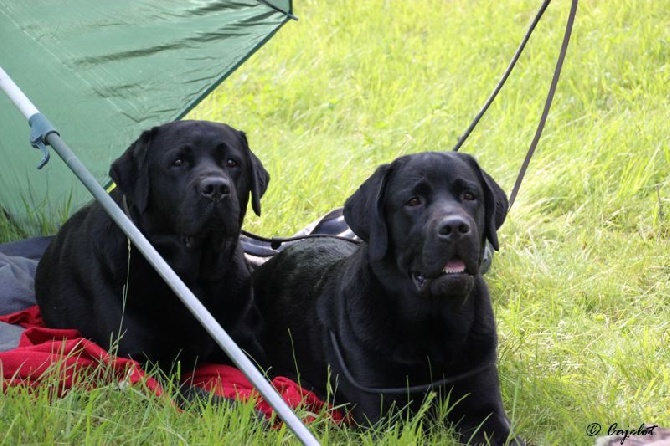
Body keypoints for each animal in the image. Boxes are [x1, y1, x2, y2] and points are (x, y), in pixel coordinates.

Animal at [34, 120, 270, 374]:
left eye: (232, 162)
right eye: (178, 161)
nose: (216, 187)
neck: (196, 280)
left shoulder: (248, 344)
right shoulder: (145, 360)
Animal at [255, 152, 524, 442]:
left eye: (469, 196)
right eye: (413, 201)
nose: (455, 226)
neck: (434, 323)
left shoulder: (486, 410)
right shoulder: (385, 418)